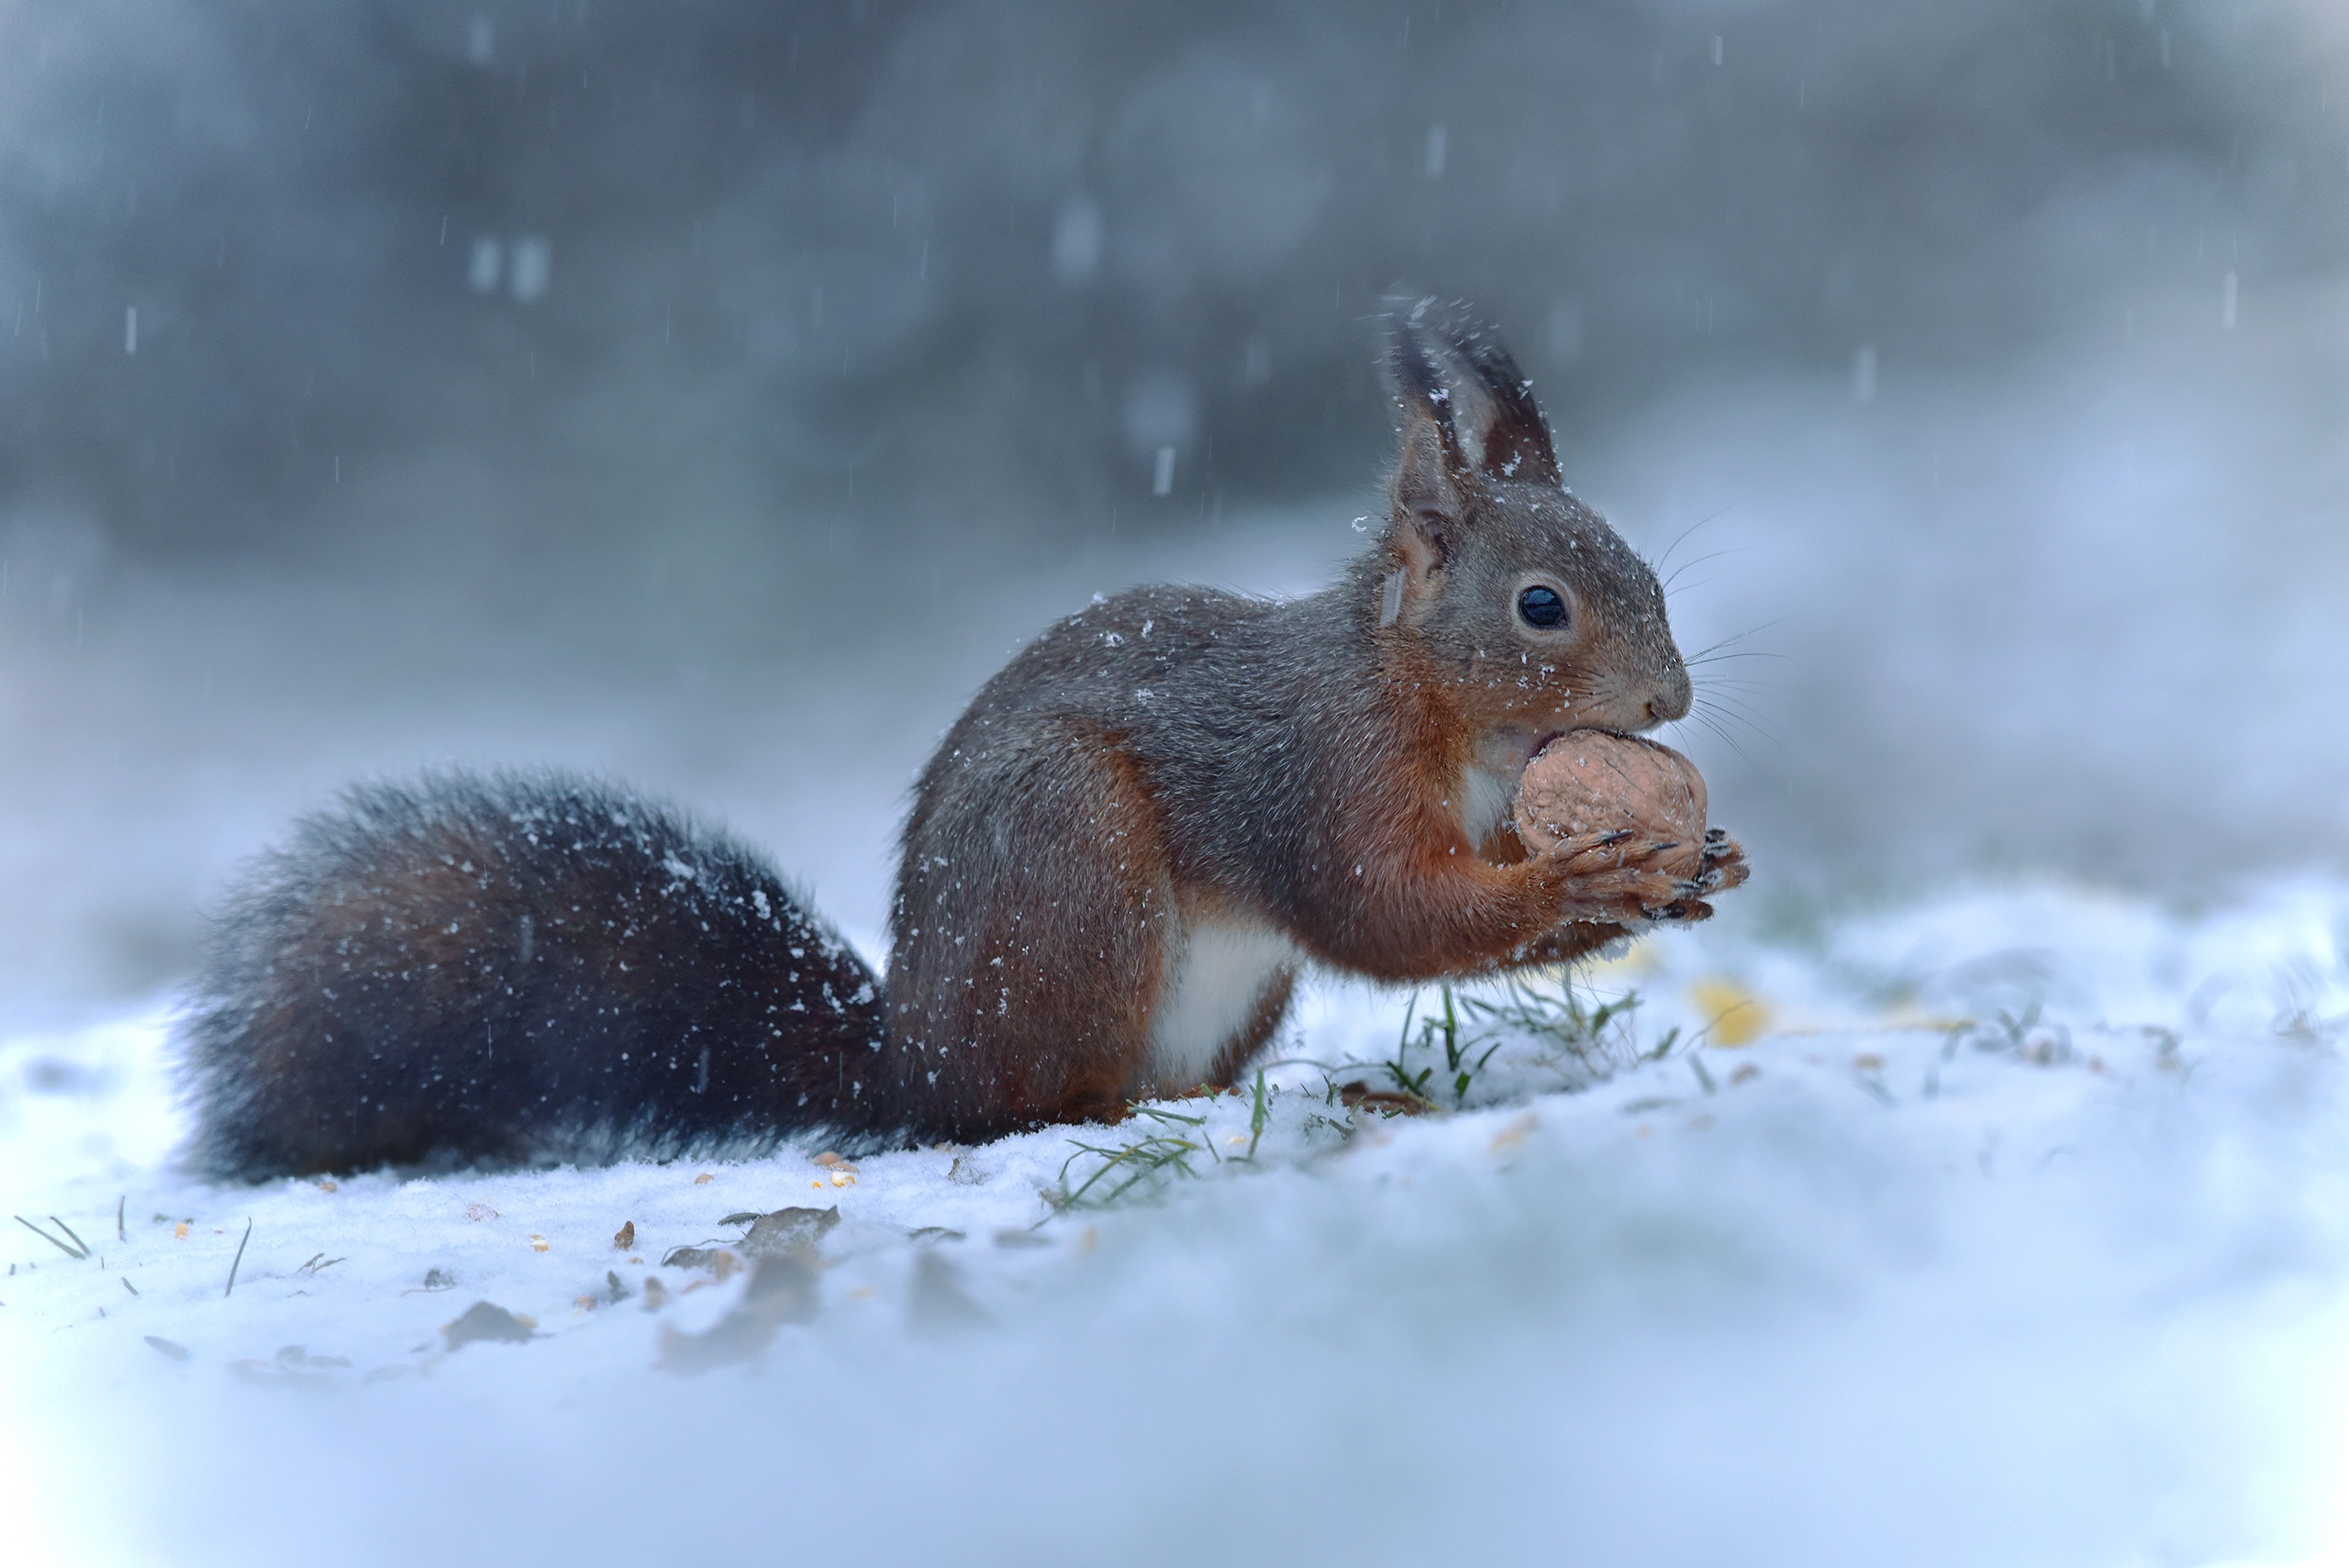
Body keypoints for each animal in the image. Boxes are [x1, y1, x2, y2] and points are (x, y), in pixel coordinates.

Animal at [178, 300, 1747, 1173]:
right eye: (1542, 605)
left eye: (1644, 570)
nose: (1669, 703)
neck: (1435, 707)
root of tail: (909, 1061)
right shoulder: (1319, 770)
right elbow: (1389, 910)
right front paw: (1582, 879)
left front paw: (1690, 867)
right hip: (1069, 865)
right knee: (1018, 1107)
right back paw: (1088, 1116)